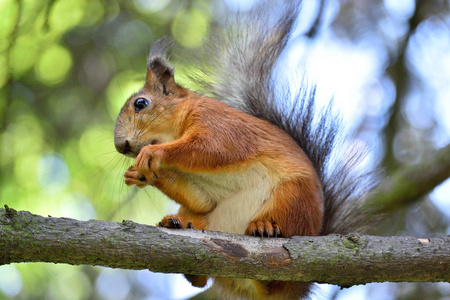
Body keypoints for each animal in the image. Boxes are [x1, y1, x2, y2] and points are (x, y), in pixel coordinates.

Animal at [114, 2, 378, 300]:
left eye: (141, 104)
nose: (121, 145)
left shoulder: (220, 127)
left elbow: (209, 150)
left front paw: (152, 154)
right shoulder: (201, 193)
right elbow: (202, 199)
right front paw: (140, 175)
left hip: (293, 197)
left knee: (274, 272)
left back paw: (264, 228)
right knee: (204, 267)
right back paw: (178, 230)